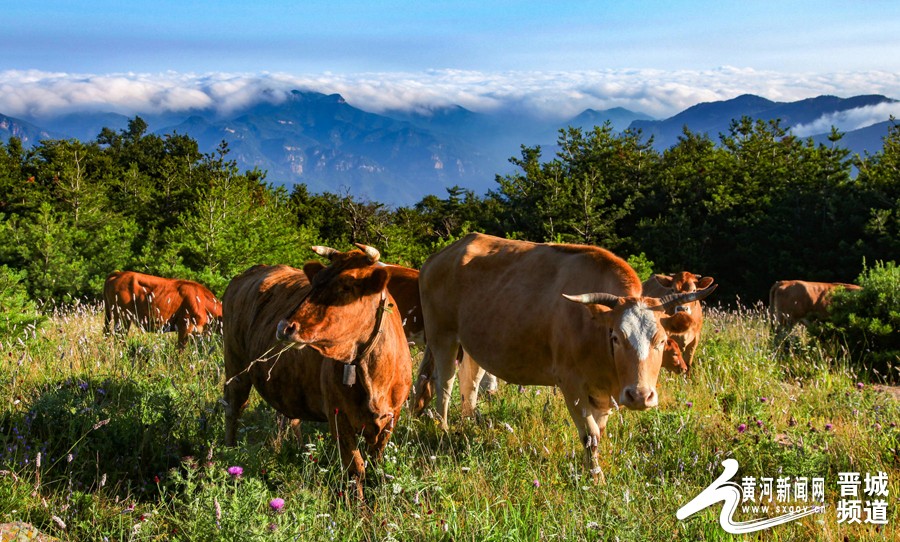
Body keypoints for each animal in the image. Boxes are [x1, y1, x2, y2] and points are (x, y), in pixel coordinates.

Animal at [222, 245, 411, 500]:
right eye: (317, 282)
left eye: (346, 285)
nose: (284, 326)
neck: (373, 379)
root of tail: (252, 271)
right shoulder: (337, 415)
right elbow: (355, 468)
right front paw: (358, 506)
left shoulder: (392, 416)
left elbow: (376, 463)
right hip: (235, 365)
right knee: (234, 409)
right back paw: (230, 452)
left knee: (289, 418)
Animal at [417, 233, 717, 479]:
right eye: (616, 337)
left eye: (661, 340)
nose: (640, 396)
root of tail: (441, 256)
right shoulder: (571, 383)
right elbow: (590, 435)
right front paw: (595, 479)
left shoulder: (603, 393)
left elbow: (599, 432)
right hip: (442, 335)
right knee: (445, 384)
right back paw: (443, 431)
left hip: (473, 343)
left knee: (470, 383)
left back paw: (468, 427)